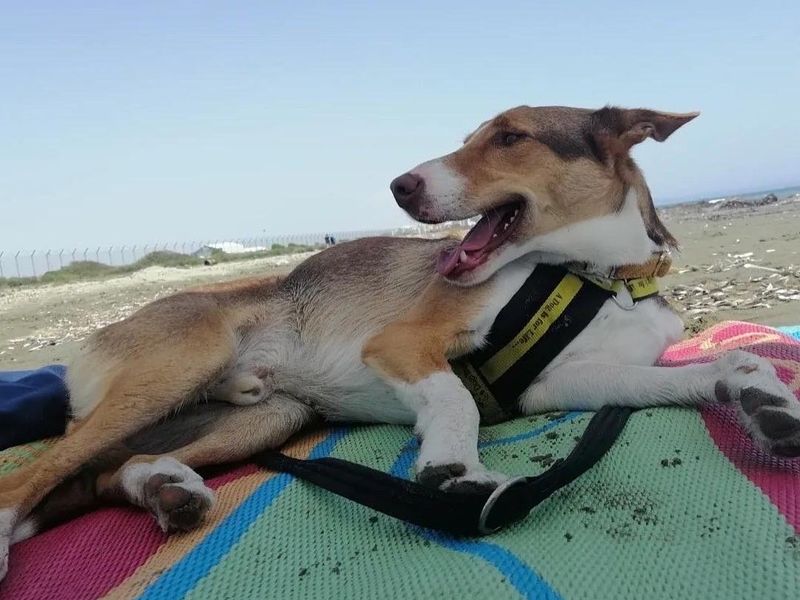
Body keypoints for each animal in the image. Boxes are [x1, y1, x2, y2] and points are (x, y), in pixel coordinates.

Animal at [1, 105, 800, 580]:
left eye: (510, 137)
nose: (397, 185)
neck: (601, 275)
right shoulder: (403, 343)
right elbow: (457, 401)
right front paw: (452, 468)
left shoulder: (563, 383)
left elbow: (695, 371)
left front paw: (755, 394)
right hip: (178, 364)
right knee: (33, 476)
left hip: (266, 417)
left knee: (111, 472)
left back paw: (169, 490)